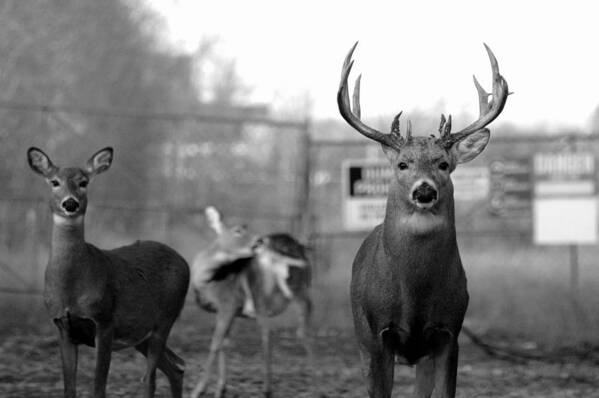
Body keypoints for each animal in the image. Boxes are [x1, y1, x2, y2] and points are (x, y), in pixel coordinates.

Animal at [27, 147, 191, 398]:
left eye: (83, 182)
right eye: (54, 181)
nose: (70, 203)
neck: (71, 288)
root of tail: (185, 262)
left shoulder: (104, 321)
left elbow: (99, 388)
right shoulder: (63, 327)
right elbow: (69, 389)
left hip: (166, 318)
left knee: (150, 378)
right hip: (140, 333)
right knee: (176, 367)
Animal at [191, 207, 314, 398]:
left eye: (245, 227)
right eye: (238, 230)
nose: (259, 240)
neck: (207, 281)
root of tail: (300, 246)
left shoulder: (228, 303)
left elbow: (215, 344)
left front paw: (198, 390)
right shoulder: (228, 311)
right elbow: (224, 343)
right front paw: (220, 389)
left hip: (274, 293)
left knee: (278, 334)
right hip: (281, 293)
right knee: (291, 321)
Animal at [340, 42, 508, 396]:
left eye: (443, 163)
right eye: (402, 164)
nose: (425, 191)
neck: (415, 293)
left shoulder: (449, 333)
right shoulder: (378, 334)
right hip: (360, 335)